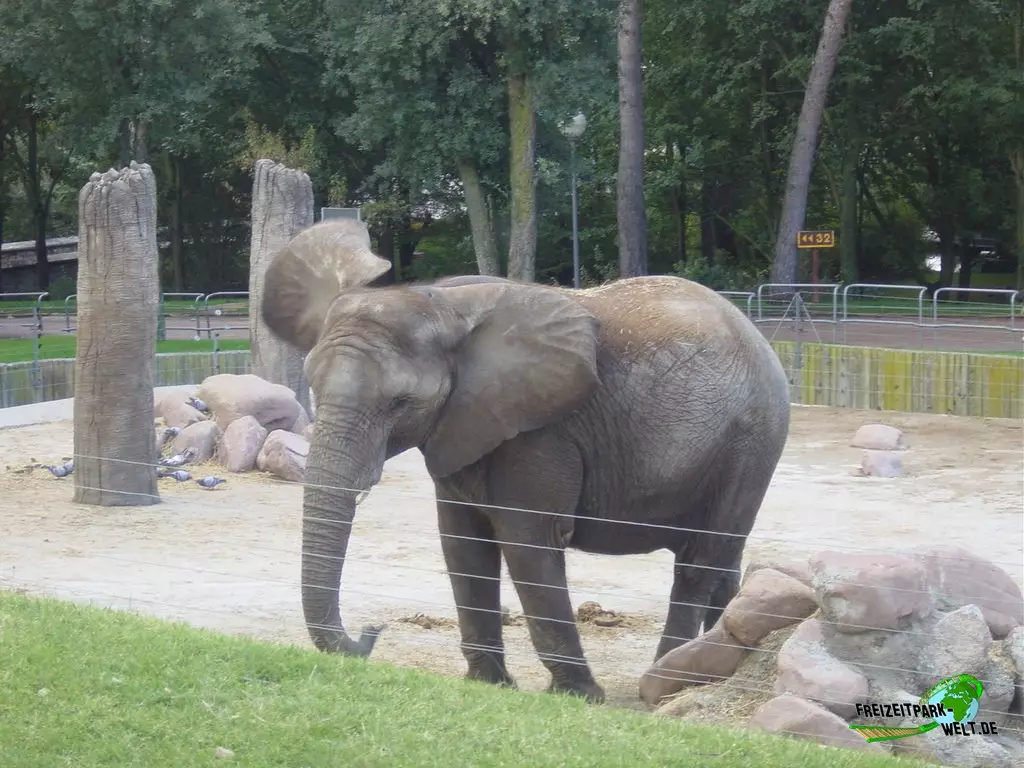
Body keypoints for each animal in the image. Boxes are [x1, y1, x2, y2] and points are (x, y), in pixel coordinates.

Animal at [260, 219, 791, 703]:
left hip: (751, 440)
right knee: (724, 560)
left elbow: (526, 540)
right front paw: (488, 684)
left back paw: (659, 683)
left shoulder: (541, 433)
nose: (372, 632)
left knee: (699, 560)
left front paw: (578, 696)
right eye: (311, 386)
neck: (437, 302)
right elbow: (462, 543)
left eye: (400, 403)